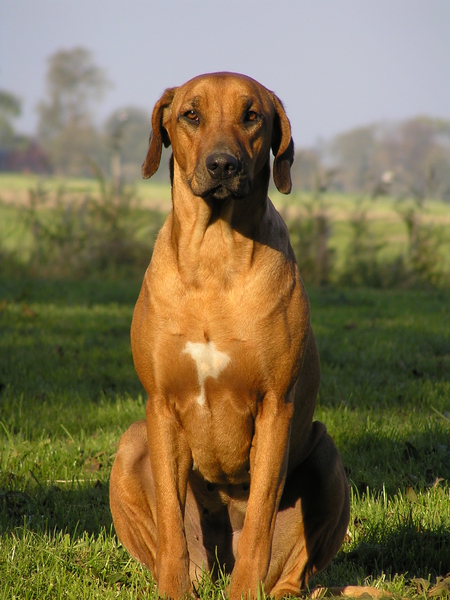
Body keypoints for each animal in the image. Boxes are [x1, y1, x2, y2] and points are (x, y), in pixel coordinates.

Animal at [110, 72, 352, 596]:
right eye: (191, 114)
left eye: (252, 115)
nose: (223, 164)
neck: (214, 258)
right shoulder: (160, 404)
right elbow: (170, 519)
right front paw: (173, 589)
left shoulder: (276, 406)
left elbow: (261, 511)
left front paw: (245, 591)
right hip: (132, 442)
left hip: (324, 454)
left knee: (292, 568)